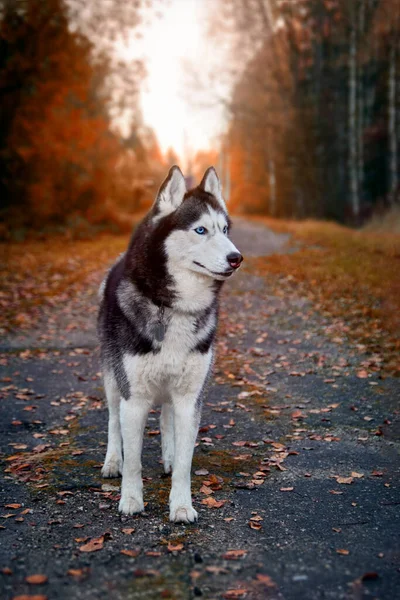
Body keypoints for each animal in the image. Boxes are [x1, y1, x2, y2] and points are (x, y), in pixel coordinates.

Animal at [98, 165, 242, 520]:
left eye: (224, 229)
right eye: (201, 230)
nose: (237, 258)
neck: (173, 307)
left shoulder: (191, 398)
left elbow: (186, 464)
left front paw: (181, 505)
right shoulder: (133, 398)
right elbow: (133, 461)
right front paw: (131, 500)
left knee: (165, 415)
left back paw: (169, 456)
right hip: (112, 380)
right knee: (112, 421)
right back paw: (112, 461)